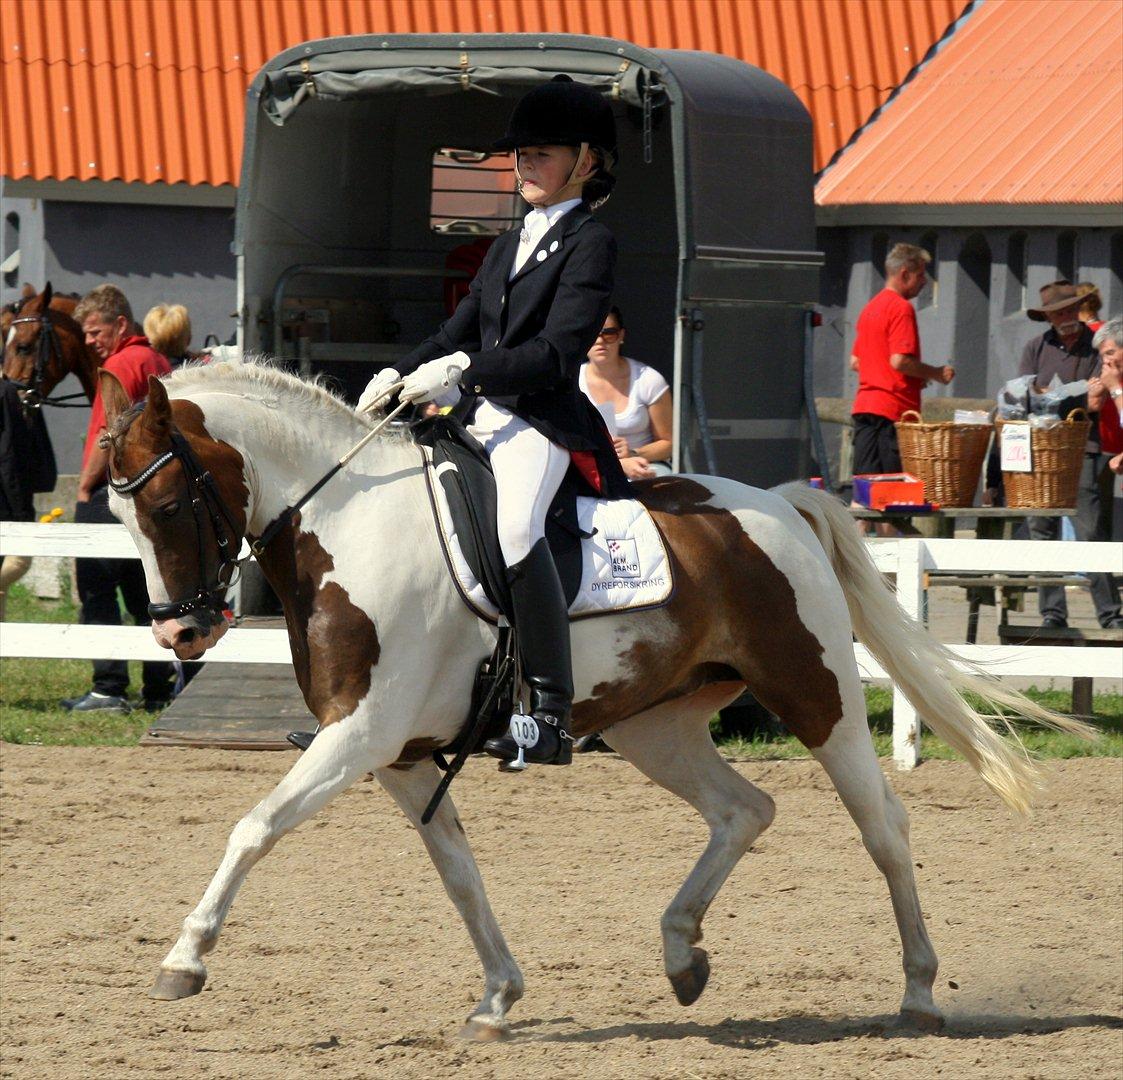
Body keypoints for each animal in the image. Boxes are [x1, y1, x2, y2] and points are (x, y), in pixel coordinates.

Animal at [97, 359, 1090, 1039]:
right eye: (119, 516)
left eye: (169, 505)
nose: (180, 635)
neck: (349, 523)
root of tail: (776, 505)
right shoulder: (401, 756)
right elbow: (459, 876)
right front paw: (497, 999)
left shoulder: (362, 736)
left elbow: (253, 827)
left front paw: (184, 959)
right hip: (657, 726)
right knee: (743, 809)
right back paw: (682, 952)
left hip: (815, 694)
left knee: (882, 824)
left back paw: (917, 990)